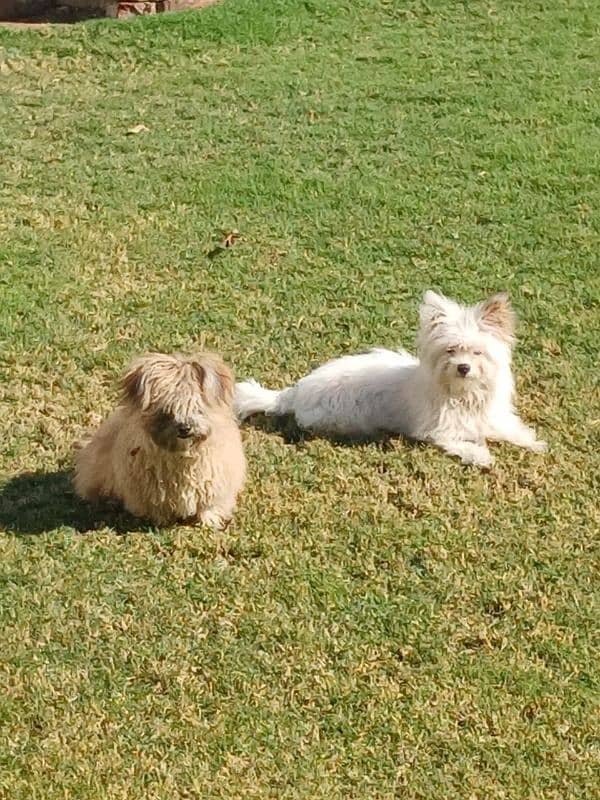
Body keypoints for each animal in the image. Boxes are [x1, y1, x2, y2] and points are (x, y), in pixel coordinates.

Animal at [74, 354, 245, 528]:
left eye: (197, 407)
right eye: (167, 409)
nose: (184, 428)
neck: (182, 455)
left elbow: (209, 505)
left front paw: (209, 520)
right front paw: (160, 520)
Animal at [237, 292, 548, 468]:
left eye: (477, 351)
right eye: (450, 350)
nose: (463, 367)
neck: (462, 394)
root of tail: (295, 392)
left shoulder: (490, 416)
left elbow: (508, 429)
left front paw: (532, 442)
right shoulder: (436, 431)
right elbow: (459, 444)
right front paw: (481, 456)